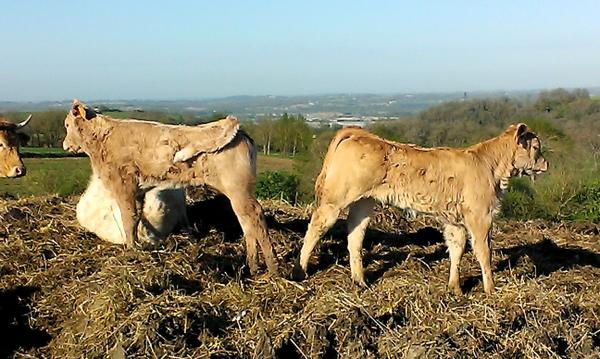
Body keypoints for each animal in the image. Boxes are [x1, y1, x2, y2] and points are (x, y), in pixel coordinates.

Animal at [64, 100, 280, 278]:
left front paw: (131, 249)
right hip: (237, 192)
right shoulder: (138, 190)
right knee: (246, 221)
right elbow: (136, 217)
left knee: (256, 216)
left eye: (67, 125)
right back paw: (253, 267)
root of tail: (239, 131)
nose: (65, 145)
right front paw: (137, 245)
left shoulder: (123, 184)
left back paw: (273, 268)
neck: (102, 139)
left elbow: (128, 217)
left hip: (238, 188)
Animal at [292, 124, 548, 296]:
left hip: (363, 202)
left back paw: (360, 281)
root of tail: (361, 134)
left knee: (355, 236)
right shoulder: (480, 216)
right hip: (335, 200)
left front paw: (455, 288)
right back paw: (299, 272)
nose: (546, 163)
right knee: (316, 226)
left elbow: (456, 249)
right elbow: (484, 252)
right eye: (536, 147)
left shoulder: (454, 220)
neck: (490, 166)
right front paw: (491, 290)